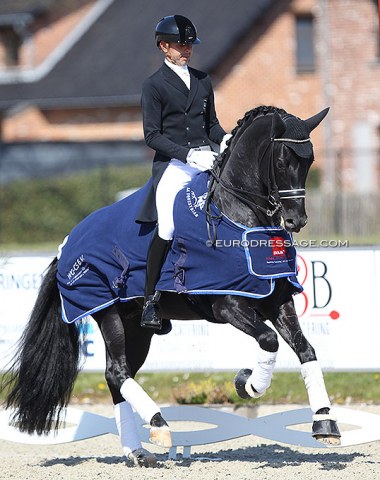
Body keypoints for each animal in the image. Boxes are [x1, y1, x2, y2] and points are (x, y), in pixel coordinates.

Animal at [2, 104, 342, 464]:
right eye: (281, 161)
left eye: (309, 160)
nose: (296, 221)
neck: (237, 214)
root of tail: (65, 245)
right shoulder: (227, 304)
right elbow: (269, 340)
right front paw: (248, 384)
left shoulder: (276, 299)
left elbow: (306, 349)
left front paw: (325, 423)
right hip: (109, 314)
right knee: (117, 372)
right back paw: (158, 424)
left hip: (137, 329)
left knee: (118, 375)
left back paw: (137, 452)